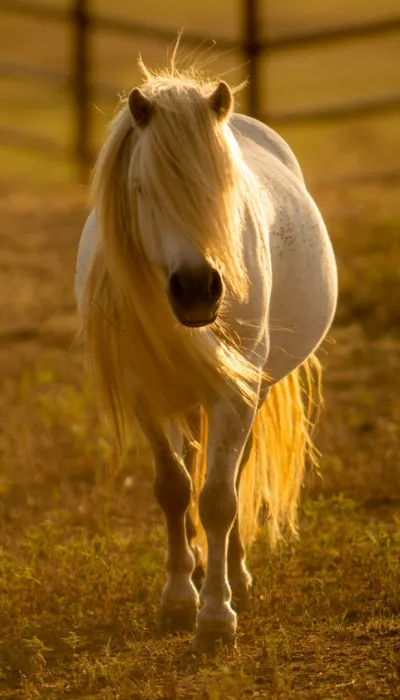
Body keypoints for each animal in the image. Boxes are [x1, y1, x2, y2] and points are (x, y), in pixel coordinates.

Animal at [75, 59, 338, 653]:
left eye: (226, 186)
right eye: (142, 189)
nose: (197, 290)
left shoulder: (234, 394)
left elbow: (219, 498)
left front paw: (217, 616)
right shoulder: (145, 391)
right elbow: (173, 489)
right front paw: (177, 597)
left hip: (251, 392)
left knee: (235, 474)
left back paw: (234, 574)